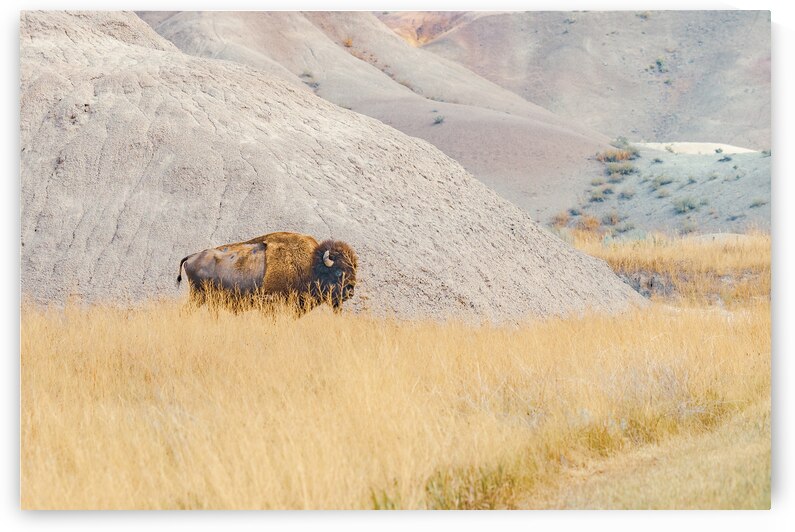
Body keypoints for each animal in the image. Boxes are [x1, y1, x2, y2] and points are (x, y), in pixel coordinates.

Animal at [177, 232, 358, 313]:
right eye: (338, 272)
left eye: (354, 269)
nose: (350, 291)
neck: (311, 266)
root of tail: (192, 256)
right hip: (198, 296)